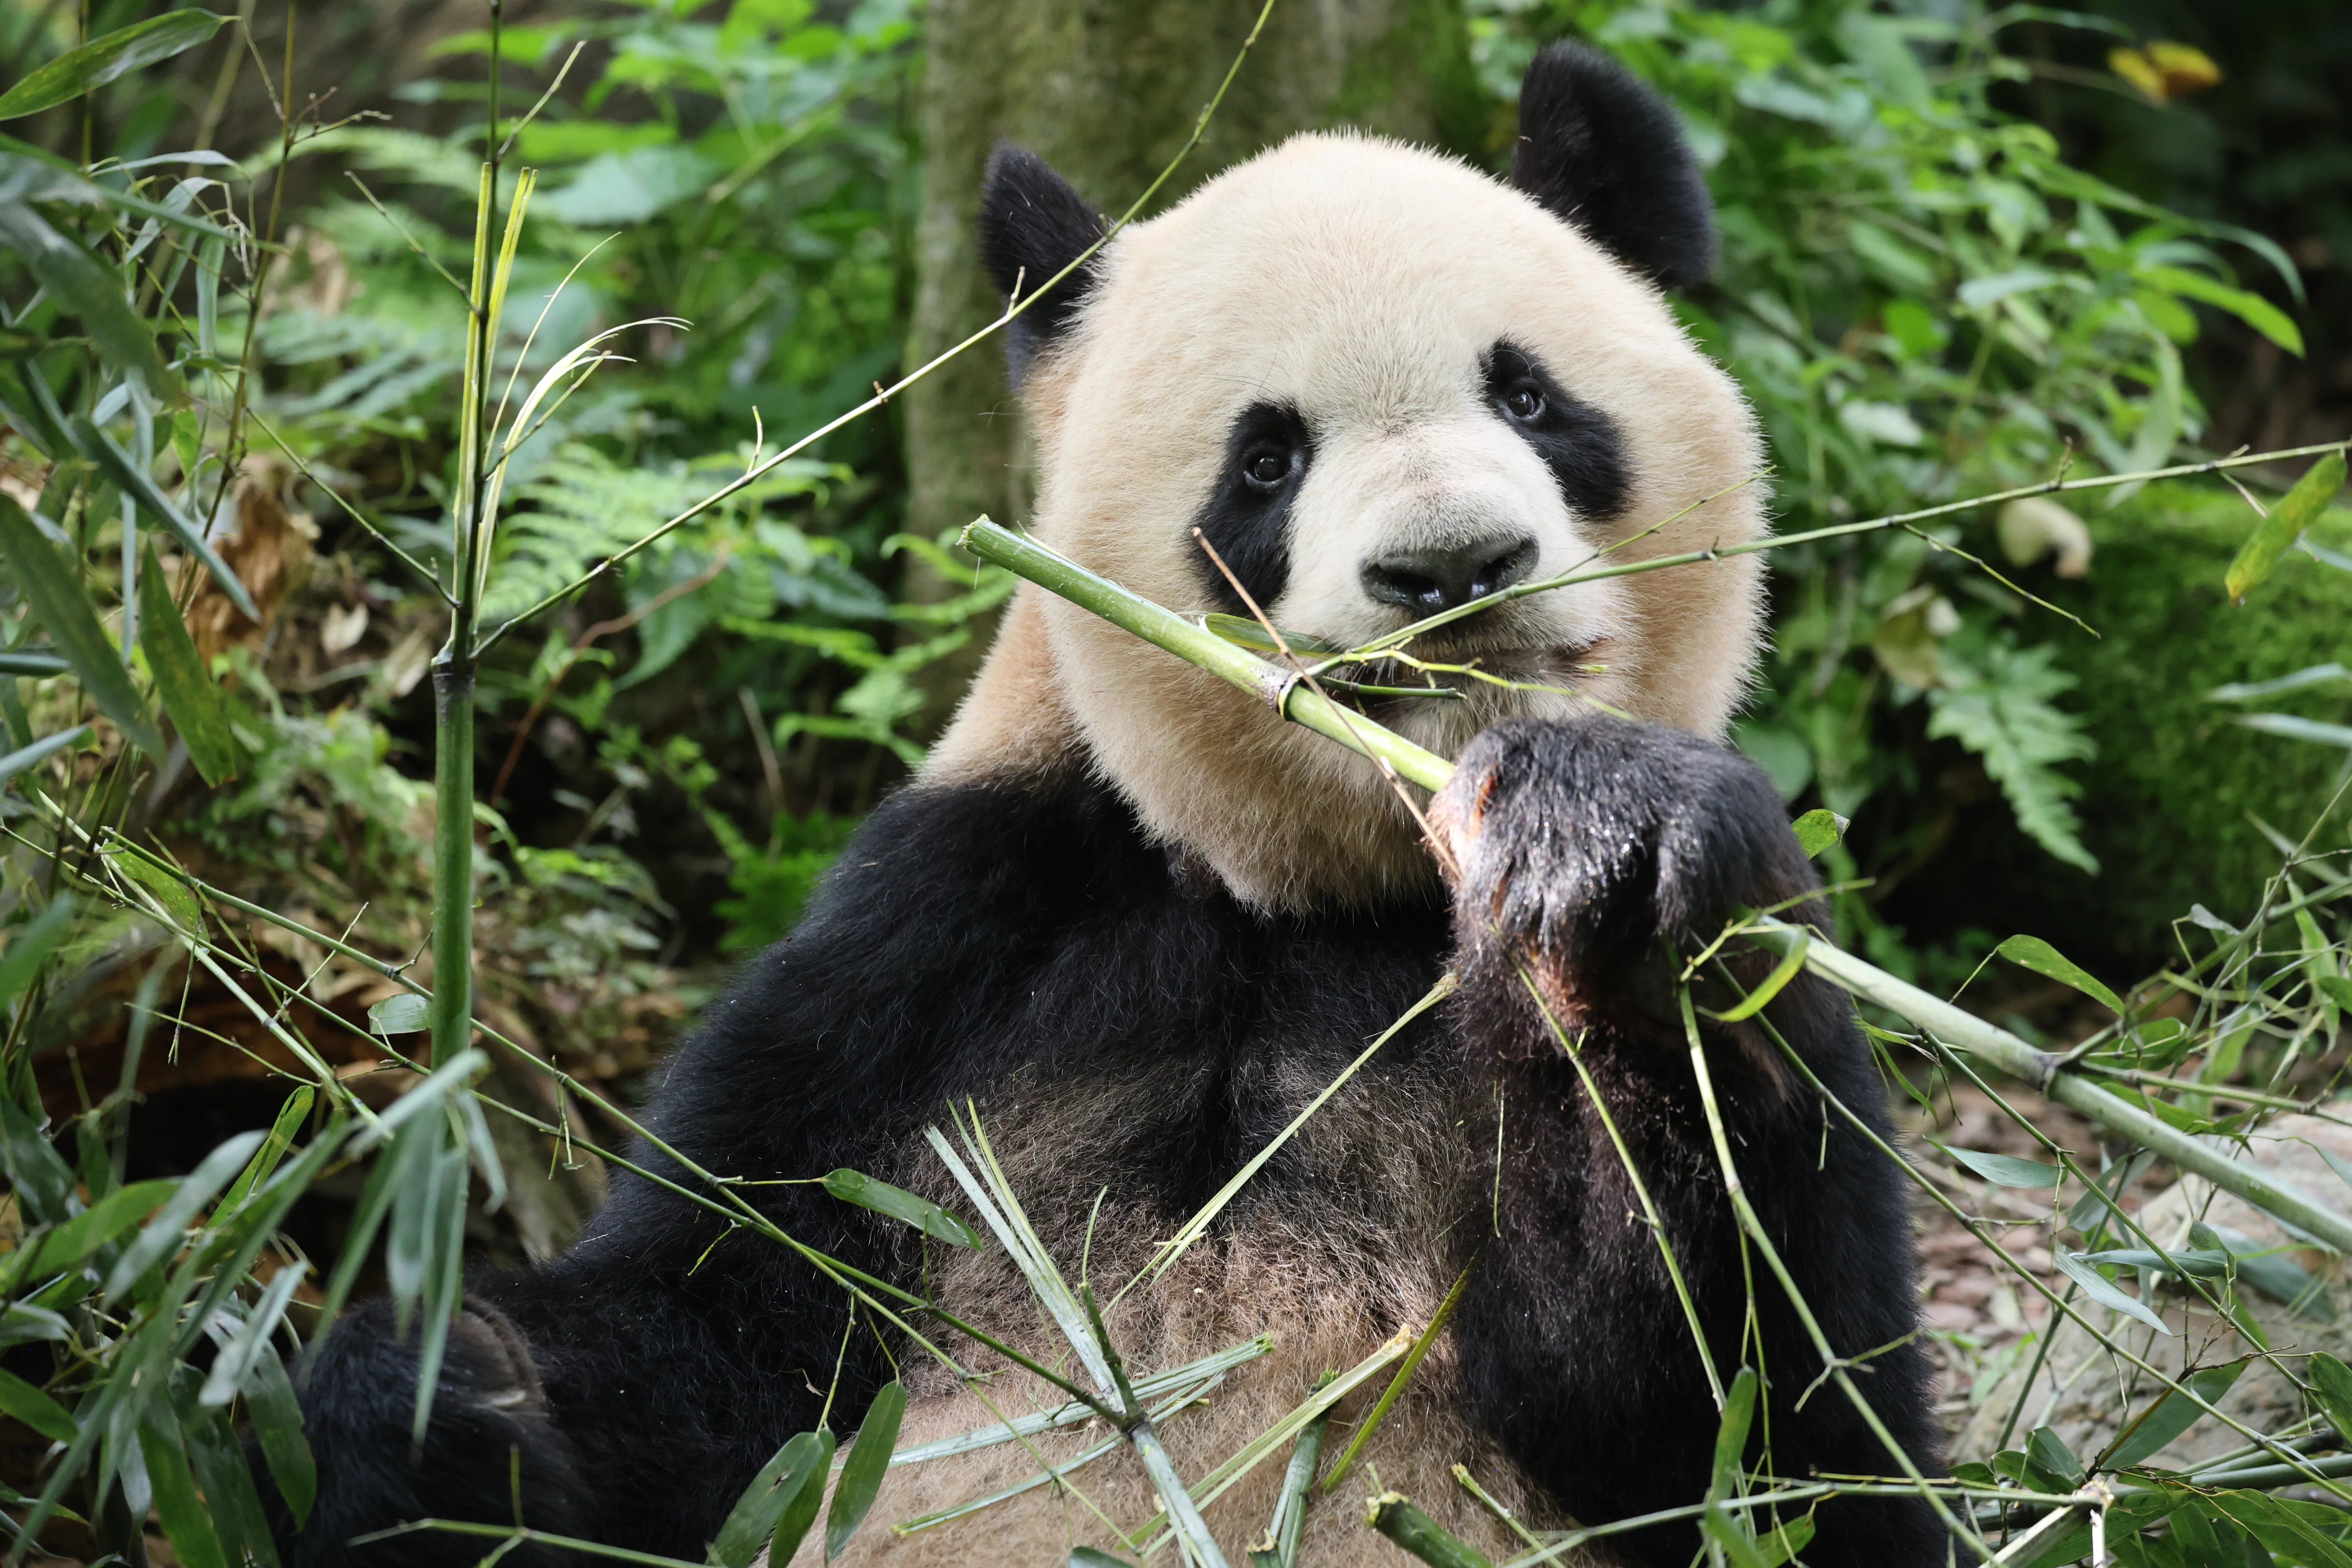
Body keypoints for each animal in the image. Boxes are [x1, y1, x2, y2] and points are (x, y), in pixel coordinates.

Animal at [284, 42, 1944, 1568]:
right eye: (1266, 460)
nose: (1453, 571)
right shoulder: (951, 940)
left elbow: (1759, 1433)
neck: (1343, 890)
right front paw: (430, 1404)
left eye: (1530, 394)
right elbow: (707, 1331)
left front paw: (1610, 895)